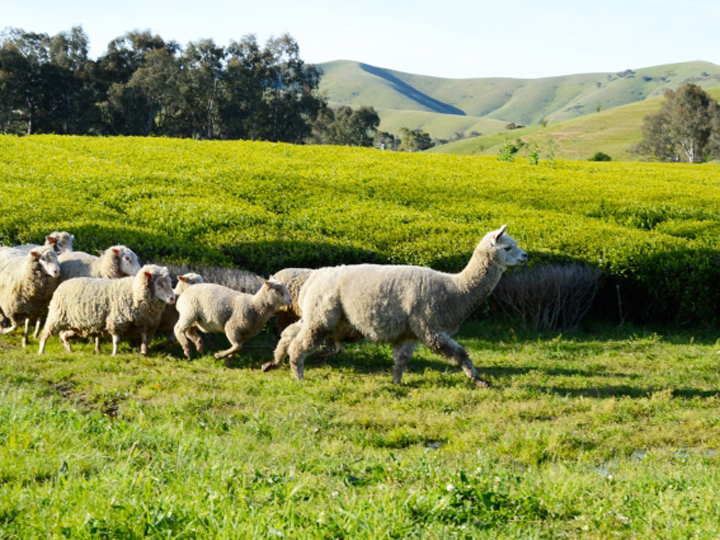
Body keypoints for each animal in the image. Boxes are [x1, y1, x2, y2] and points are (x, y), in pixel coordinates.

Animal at [37, 264, 176, 356]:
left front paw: (143, 352)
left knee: (63, 334)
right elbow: (116, 340)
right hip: (55, 317)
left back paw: (69, 349)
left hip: (77, 325)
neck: (134, 292)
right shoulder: (116, 322)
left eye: (169, 282)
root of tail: (63, 284)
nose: (172, 298)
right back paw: (41, 351)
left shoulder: (143, 323)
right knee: (45, 334)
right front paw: (114, 354)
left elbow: (144, 339)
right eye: (159, 283)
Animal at [264, 225, 528, 388]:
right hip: (323, 316)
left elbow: (401, 359)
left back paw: (272, 363)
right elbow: (459, 353)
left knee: (290, 333)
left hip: (319, 314)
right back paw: (298, 374)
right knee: (301, 342)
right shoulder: (430, 327)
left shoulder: (411, 332)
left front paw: (397, 382)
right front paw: (479, 380)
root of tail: (314, 277)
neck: (454, 290)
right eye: (507, 247)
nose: (526, 257)